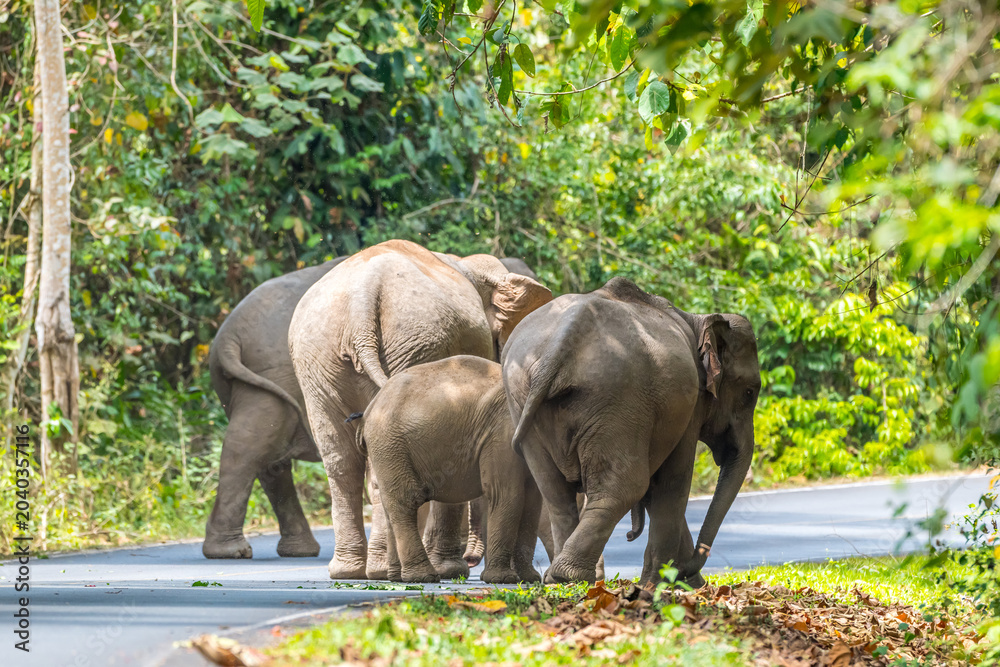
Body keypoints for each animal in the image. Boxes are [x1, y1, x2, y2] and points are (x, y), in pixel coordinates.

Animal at [203, 257, 345, 559]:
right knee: (250, 447)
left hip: (251, 381)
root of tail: (226, 337)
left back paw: (299, 552)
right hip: (274, 370)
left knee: (267, 457)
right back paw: (231, 552)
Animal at [359, 356, 542, 584]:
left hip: (387, 447)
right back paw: (423, 577)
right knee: (406, 500)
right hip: (388, 443)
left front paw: (530, 579)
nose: (470, 560)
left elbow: (533, 499)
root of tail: (370, 407)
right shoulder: (502, 431)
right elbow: (506, 493)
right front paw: (503, 580)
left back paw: (397, 578)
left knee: (390, 505)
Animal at [502, 276, 760, 587]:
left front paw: (684, 582)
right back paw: (571, 575)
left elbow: (655, 487)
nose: (628, 535)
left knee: (554, 492)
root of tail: (560, 343)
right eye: (750, 392)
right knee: (625, 486)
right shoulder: (690, 404)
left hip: (526, 401)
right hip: (617, 397)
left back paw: (559, 578)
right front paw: (662, 583)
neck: (695, 319)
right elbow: (671, 482)